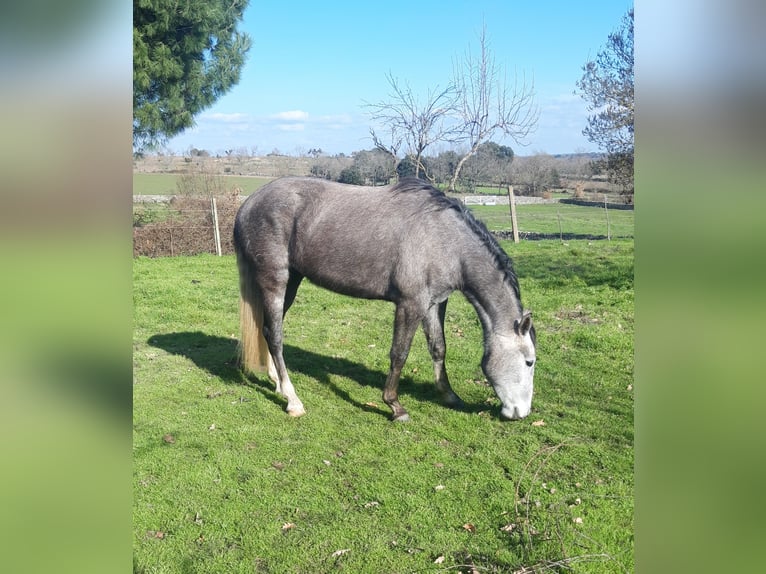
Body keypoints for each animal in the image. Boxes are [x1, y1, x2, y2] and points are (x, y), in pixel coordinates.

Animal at [233, 176, 536, 421]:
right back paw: (292, 400)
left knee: (268, 329)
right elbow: (399, 354)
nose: (521, 413)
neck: (444, 239)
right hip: (275, 280)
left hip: (292, 282)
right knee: (275, 335)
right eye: (530, 362)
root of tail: (248, 204)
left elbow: (438, 348)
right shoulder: (410, 305)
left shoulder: (434, 303)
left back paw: (276, 383)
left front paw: (449, 395)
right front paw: (395, 406)